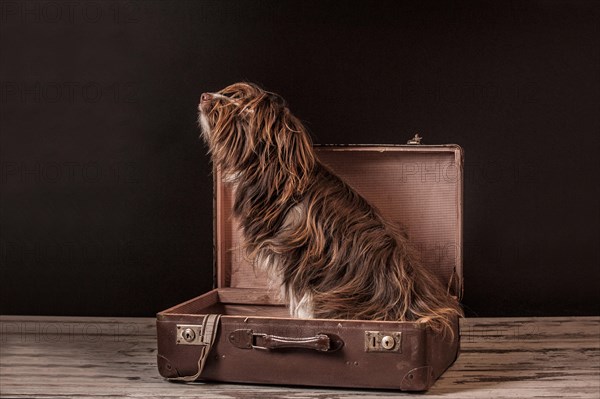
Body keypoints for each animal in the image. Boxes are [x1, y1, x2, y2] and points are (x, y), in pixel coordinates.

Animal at [199, 82, 462, 334]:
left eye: (243, 108)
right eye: (232, 96)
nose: (204, 96)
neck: (276, 174)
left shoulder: (299, 260)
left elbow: (303, 297)